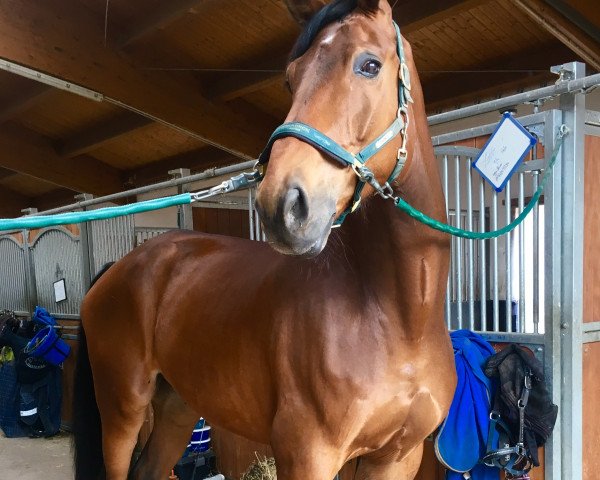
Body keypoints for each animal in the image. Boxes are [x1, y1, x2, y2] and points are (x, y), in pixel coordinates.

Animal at [74, 0, 454, 480]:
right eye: (291, 78)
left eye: (369, 65)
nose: (282, 203)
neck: (397, 320)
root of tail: (117, 269)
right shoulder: (307, 455)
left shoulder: (398, 457)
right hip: (122, 410)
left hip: (178, 406)